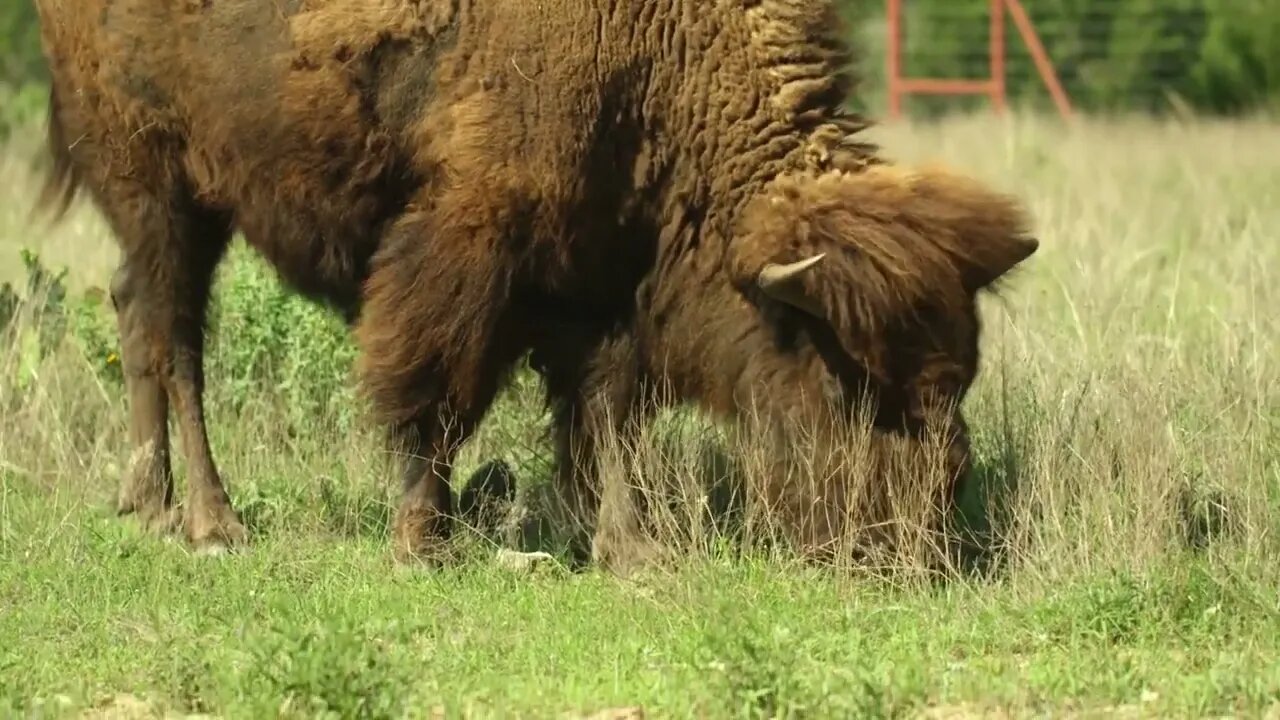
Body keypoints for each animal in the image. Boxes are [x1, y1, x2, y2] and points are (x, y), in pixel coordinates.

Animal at [35, 0, 1039, 566]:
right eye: (844, 380)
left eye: (957, 383)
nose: (915, 545)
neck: (666, 55)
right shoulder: (472, 241)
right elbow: (435, 390)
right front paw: (421, 541)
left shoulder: (609, 272)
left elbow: (608, 412)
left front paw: (632, 548)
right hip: (161, 184)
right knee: (174, 335)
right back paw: (211, 522)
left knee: (137, 317)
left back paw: (147, 504)